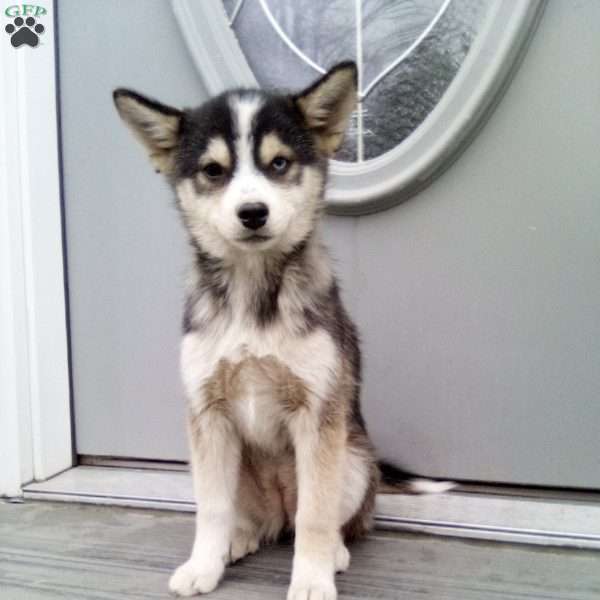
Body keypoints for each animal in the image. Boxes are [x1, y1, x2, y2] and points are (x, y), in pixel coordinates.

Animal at [112, 63, 450, 596]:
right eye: (213, 170)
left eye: (279, 163)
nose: (253, 213)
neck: (252, 296)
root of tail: (277, 514)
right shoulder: (207, 415)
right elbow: (211, 508)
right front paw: (203, 565)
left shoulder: (318, 414)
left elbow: (316, 514)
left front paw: (311, 578)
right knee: (252, 519)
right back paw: (239, 539)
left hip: (354, 460)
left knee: (332, 519)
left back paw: (333, 551)